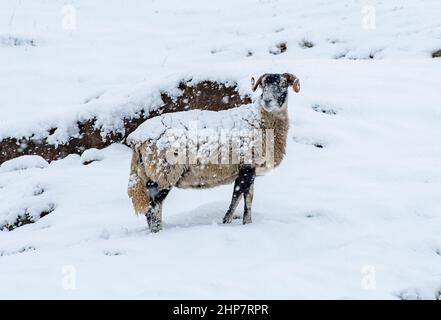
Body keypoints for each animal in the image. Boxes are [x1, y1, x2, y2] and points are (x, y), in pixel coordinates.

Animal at [125, 72, 300, 232]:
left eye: (283, 84)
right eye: (263, 85)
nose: (267, 101)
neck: (260, 120)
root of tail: (137, 139)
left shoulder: (248, 169)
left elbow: (246, 198)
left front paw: (243, 223)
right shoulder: (246, 167)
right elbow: (239, 199)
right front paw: (232, 222)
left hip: (149, 175)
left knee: (150, 207)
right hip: (165, 173)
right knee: (154, 206)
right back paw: (158, 232)